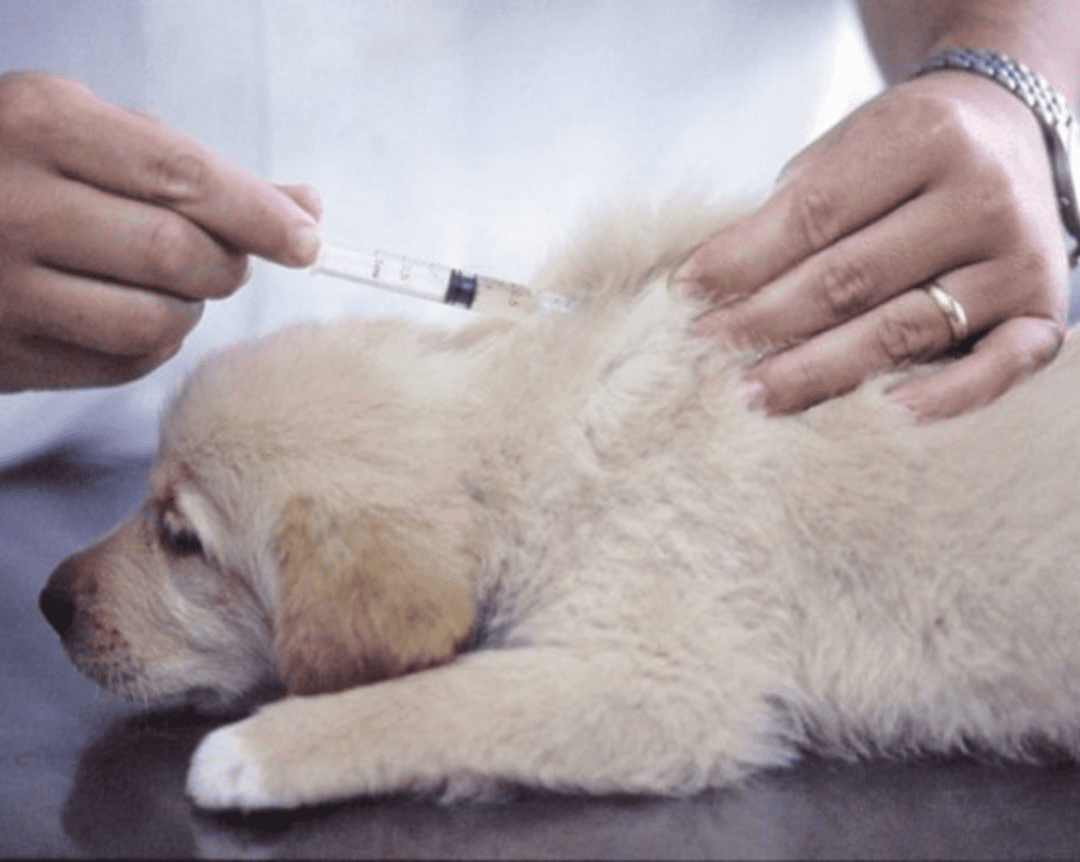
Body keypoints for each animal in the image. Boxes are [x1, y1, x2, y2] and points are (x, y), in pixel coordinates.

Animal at [38, 200, 1080, 812]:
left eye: (181, 539)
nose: (48, 603)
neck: (531, 441)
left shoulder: (664, 683)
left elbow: (434, 699)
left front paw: (256, 751)